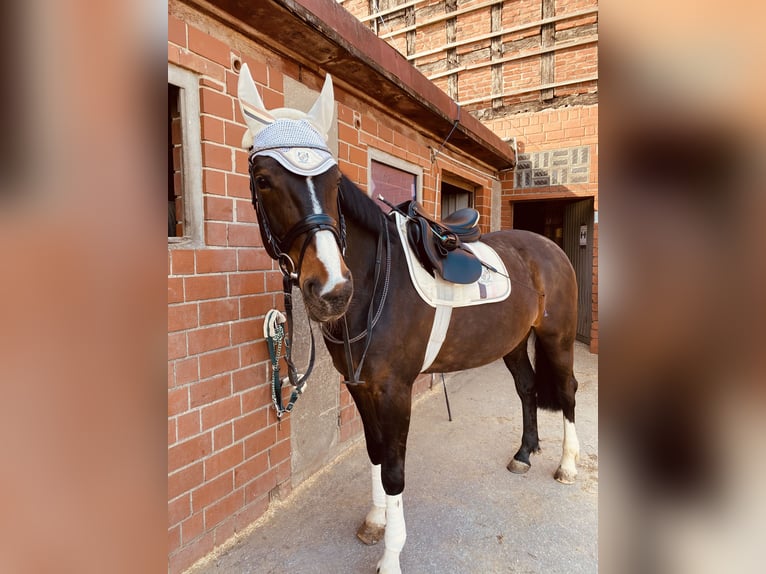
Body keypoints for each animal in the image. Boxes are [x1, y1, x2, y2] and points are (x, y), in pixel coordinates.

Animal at [237, 64, 580, 574]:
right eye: (262, 179)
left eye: (334, 180)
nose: (333, 290)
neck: (378, 283)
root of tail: (548, 248)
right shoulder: (361, 387)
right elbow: (377, 454)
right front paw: (375, 522)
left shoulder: (396, 391)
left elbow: (395, 471)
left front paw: (391, 556)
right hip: (515, 342)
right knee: (526, 388)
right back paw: (523, 453)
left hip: (557, 337)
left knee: (569, 392)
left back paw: (568, 465)